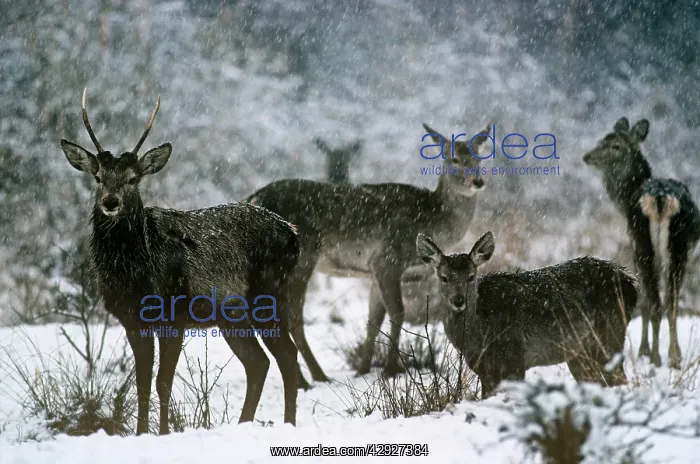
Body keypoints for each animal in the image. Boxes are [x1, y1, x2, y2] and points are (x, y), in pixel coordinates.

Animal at [59, 88, 300, 435]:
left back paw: (288, 424)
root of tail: (294, 234)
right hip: (232, 314)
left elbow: (163, 382)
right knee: (259, 362)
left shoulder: (173, 314)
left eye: (133, 178)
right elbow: (142, 383)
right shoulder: (131, 319)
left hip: (269, 295)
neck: (136, 272)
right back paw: (244, 423)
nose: (111, 202)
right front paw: (141, 433)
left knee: (286, 356)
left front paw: (161, 433)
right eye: (98, 177)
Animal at [247, 123, 491, 386]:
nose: (478, 181)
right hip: (301, 259)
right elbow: (398, 313)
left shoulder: (373, 272)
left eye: (480, 157)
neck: (433, 219)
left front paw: (362, 370)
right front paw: (389, 371)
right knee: (290, 315)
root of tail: (253, 198)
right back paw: (314, 377)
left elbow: (373, 321)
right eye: (454, 158)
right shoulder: (388, 259)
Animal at [416, 232, 637, 398]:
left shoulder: (513, 359)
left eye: (471, 276)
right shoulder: (484, 369)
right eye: (444, 277)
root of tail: (630, 282)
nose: (458, 300)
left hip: (609, 335)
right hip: (579, 353)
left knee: (619, 380)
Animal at [583, 117, 700, 369]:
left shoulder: (634, 245)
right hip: (677, 248)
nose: (587, 156)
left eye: (616, 145)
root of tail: (660, 198)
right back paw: (674, 357)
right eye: (602, 140)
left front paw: (644, 350)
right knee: (671, 301)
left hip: (644, 242)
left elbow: (645, 300)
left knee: (655, 301)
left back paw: (655, 356)